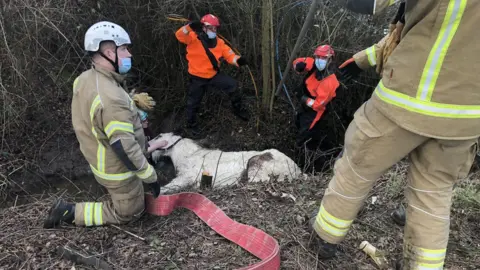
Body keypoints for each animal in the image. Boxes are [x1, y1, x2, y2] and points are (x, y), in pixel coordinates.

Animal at [150, 133, 304, 194]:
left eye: (158, 136)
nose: (148, 144)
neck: (187, 154)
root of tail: (298, 170)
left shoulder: (186, 177)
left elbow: (167, 188)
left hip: (255, 163)